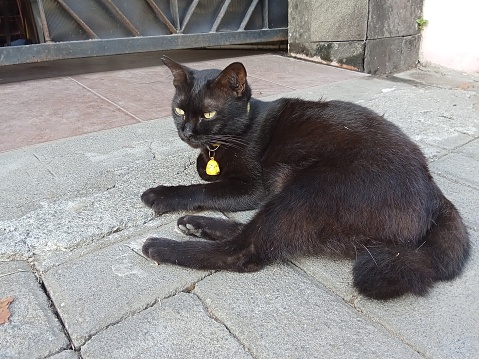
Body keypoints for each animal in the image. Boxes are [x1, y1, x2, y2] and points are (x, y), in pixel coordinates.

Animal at [141, 55, 470, 298]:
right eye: (179, 110)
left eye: (208, 114)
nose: (187, 132)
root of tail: (435, 193)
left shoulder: (251, 187)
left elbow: (201, 188)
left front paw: (161, 194)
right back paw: (195, 225)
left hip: (308, 190)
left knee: (243, 250)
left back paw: (160, 247)